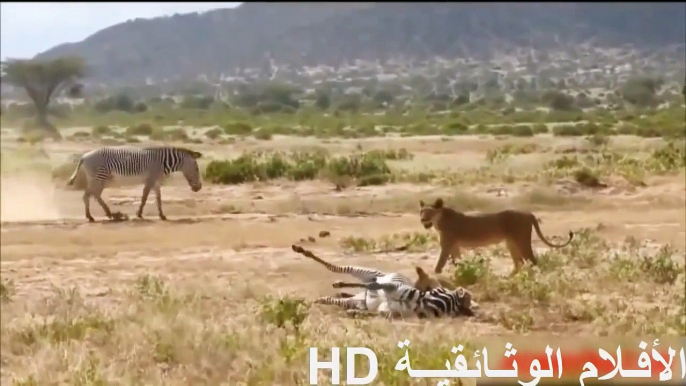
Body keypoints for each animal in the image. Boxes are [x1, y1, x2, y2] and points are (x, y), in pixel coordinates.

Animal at [67, 146, 202, 223]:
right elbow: (144, 197)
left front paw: (162, 215)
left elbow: (158, 198)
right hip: (99, 177)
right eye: (196, 169)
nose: (199, 188)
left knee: (90, 195)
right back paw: (104, 215)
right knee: (91, 194)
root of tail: (84, 156)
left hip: (97, 179)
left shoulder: (156, 182)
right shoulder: (150, 180)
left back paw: (96, 216)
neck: (162, 163)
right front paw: (139, 214)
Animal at [290, 246, 472, 318]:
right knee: (336, 268)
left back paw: (318, 300)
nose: (467, 294)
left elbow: (373, 310)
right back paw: (301, 250)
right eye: (438, 291)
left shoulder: (386, 312)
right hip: (370, 273)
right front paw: (340, 284)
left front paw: (354, 313)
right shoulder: (394, 286)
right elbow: (374, 284)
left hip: (356, 299)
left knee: (336, 298)